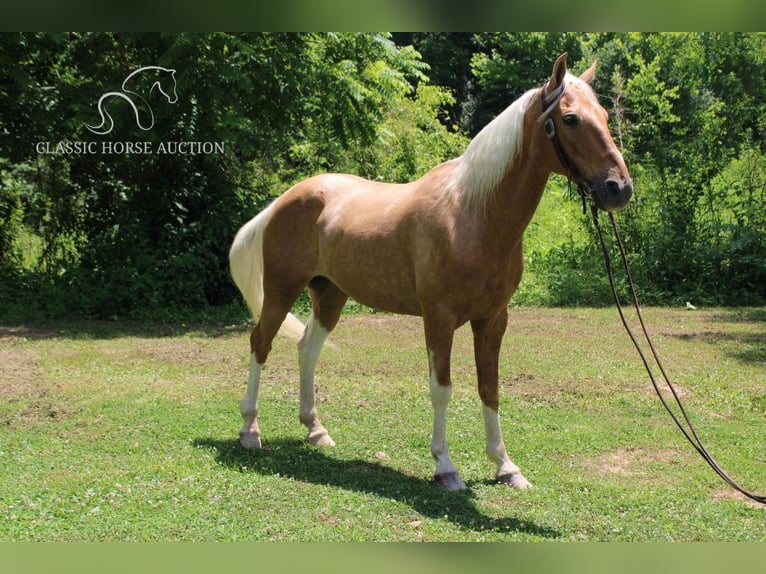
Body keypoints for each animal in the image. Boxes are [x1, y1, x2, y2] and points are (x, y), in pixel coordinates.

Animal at [230, 54, 636, 492]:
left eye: (604, 115)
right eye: (571, 119)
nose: (619, 188)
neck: (473, 216)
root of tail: (284, 200)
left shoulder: (493, 320)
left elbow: (490, 388)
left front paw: (505, 466)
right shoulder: (439, 319)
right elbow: (442, 389)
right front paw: (445, 467)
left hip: (330, 295)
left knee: (307, 348)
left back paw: (315, 430)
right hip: (282, 289)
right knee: (260, 343)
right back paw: (249, 430)